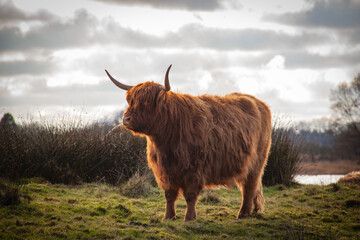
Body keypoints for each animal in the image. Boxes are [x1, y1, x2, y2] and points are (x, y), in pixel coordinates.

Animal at [105, 64, 272, 221]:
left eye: (146, 103)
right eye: (130, 100)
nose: (126, 119)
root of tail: (259, 103)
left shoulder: (195, 170)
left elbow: (190, 196)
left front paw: (189, 218)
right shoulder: (165, 171)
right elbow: (170, 195)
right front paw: (168, 217)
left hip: (256, 163)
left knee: (249, 188)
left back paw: (242, 214)